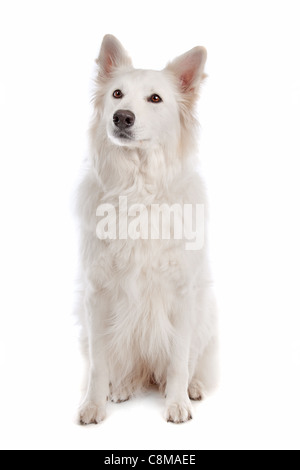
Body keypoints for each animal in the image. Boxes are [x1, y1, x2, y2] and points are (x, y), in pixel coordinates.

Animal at [75, 35, 218, 424]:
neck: (137, 190)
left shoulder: (182, 296)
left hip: (204, 316)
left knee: (189, 363)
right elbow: (98, 366)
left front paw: (177, 403)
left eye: (155, 99)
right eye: (117, 94)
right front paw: (93, 405)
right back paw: (122, 388)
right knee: (126, 369)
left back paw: (193, 388)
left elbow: (179, 361)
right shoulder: (97, 296)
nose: (122, 117)